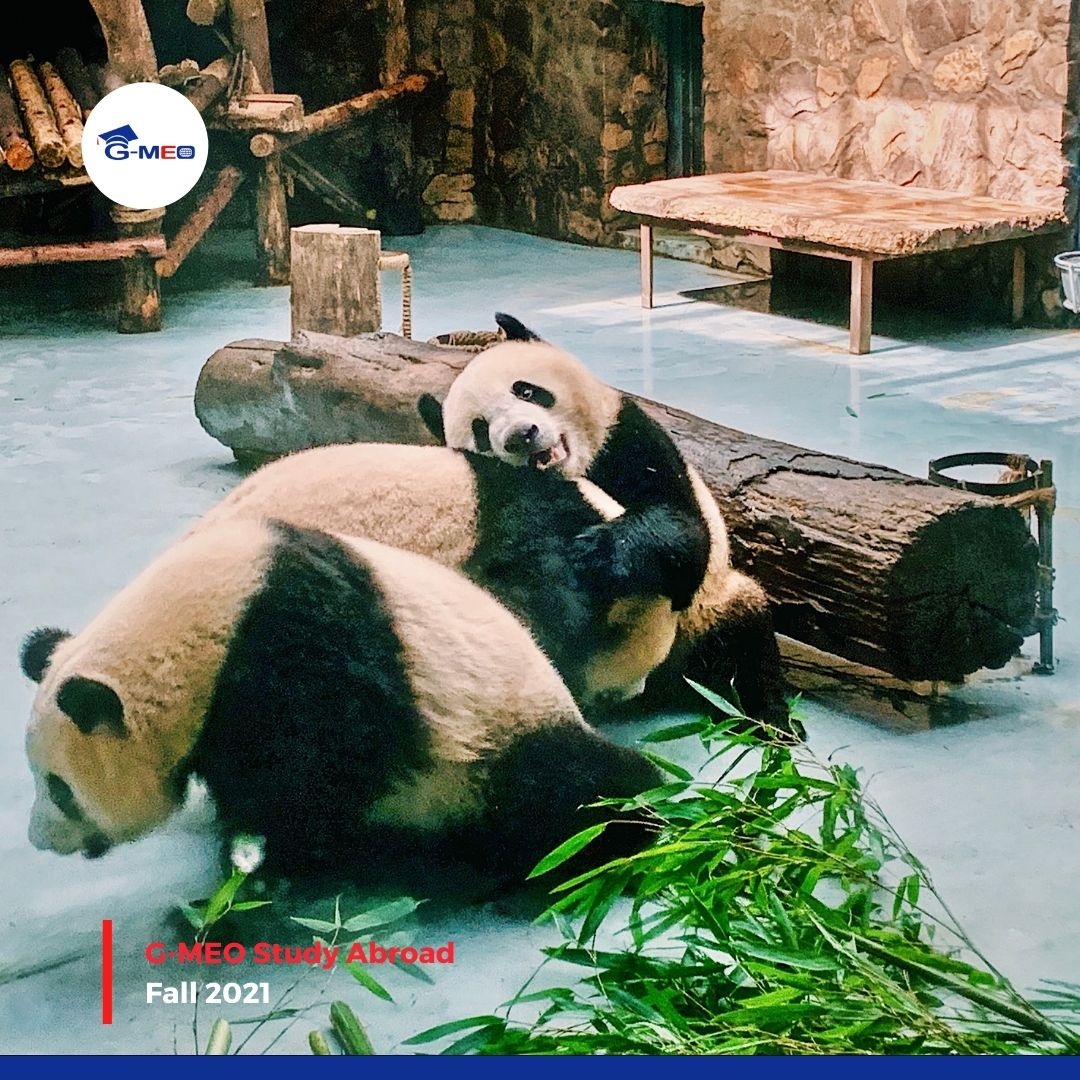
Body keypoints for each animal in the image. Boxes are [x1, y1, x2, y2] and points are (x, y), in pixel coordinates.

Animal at [19, 519, 662, 885]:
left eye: (59, 787)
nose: (38, 840)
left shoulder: (295, 649)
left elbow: (325, 762)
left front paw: (273, 855)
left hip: (501, 735)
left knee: (569, 790)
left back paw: (623, 826)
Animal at [417, 313, 798, 739]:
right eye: (481, 429)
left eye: (526, 391)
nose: (520, 436)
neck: (579, 467)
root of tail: (661, 688)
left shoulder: (629, 441)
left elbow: (682, 530)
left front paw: (595, 550)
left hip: (708, 613)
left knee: (745, 642)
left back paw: (769, 723)